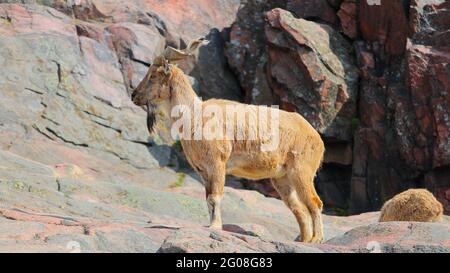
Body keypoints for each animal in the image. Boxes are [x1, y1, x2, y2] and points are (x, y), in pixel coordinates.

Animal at [132, 38, 326, 242]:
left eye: (153, 75)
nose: (134, 95)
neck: (194, 115)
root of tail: (316, 138)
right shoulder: (204, 171)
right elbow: (208, 198)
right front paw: (211, 225)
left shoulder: (217, 164)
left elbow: (215, 197)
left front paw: (215, 227)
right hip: (282, 178)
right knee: (299, 209)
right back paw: (305, 239)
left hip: (302, 171)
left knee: (315, 203)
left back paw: (316, 239)